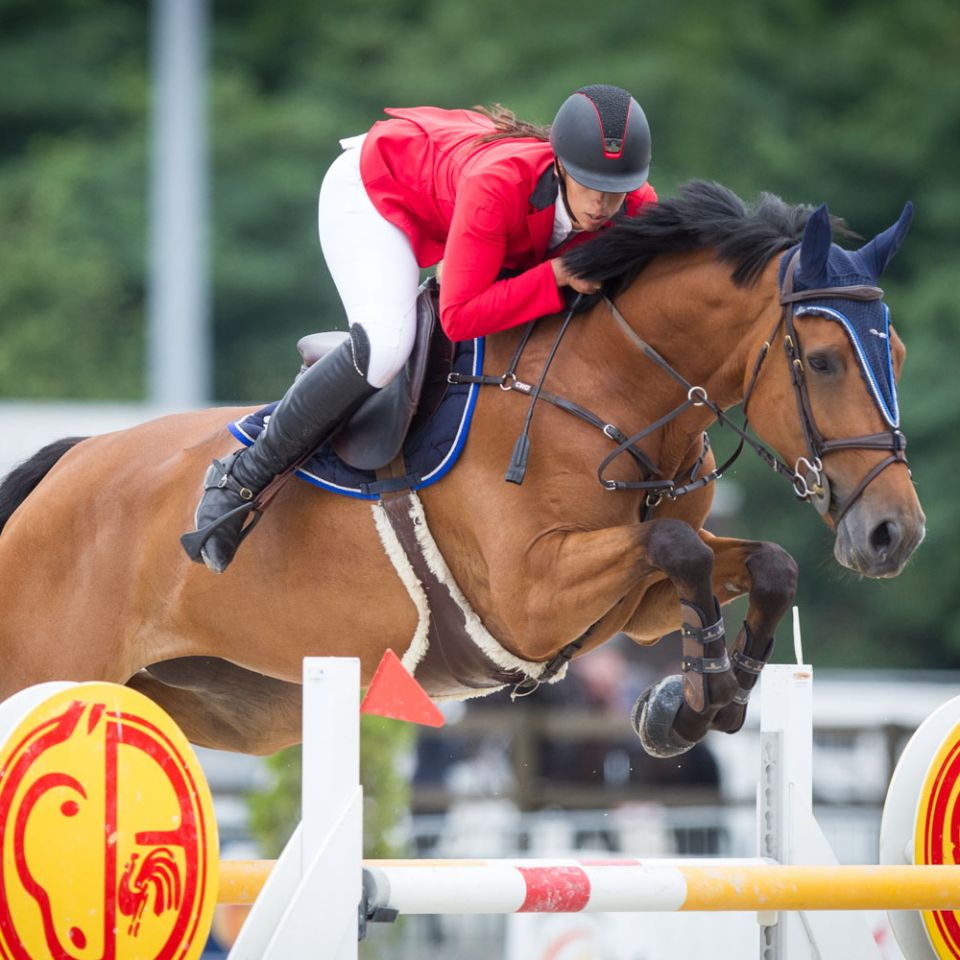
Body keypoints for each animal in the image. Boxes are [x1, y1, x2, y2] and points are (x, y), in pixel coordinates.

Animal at [0, 180, 924, 756]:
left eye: (900, 356)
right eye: (823, 361)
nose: (895, 535)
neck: (616, 392)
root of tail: (65, 465)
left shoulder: (634, 608)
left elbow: (761, 563)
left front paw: (700, 701)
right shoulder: (530, 594)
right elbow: (679, 546)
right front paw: (692, 701)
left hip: (211, 701)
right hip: (47, 668)